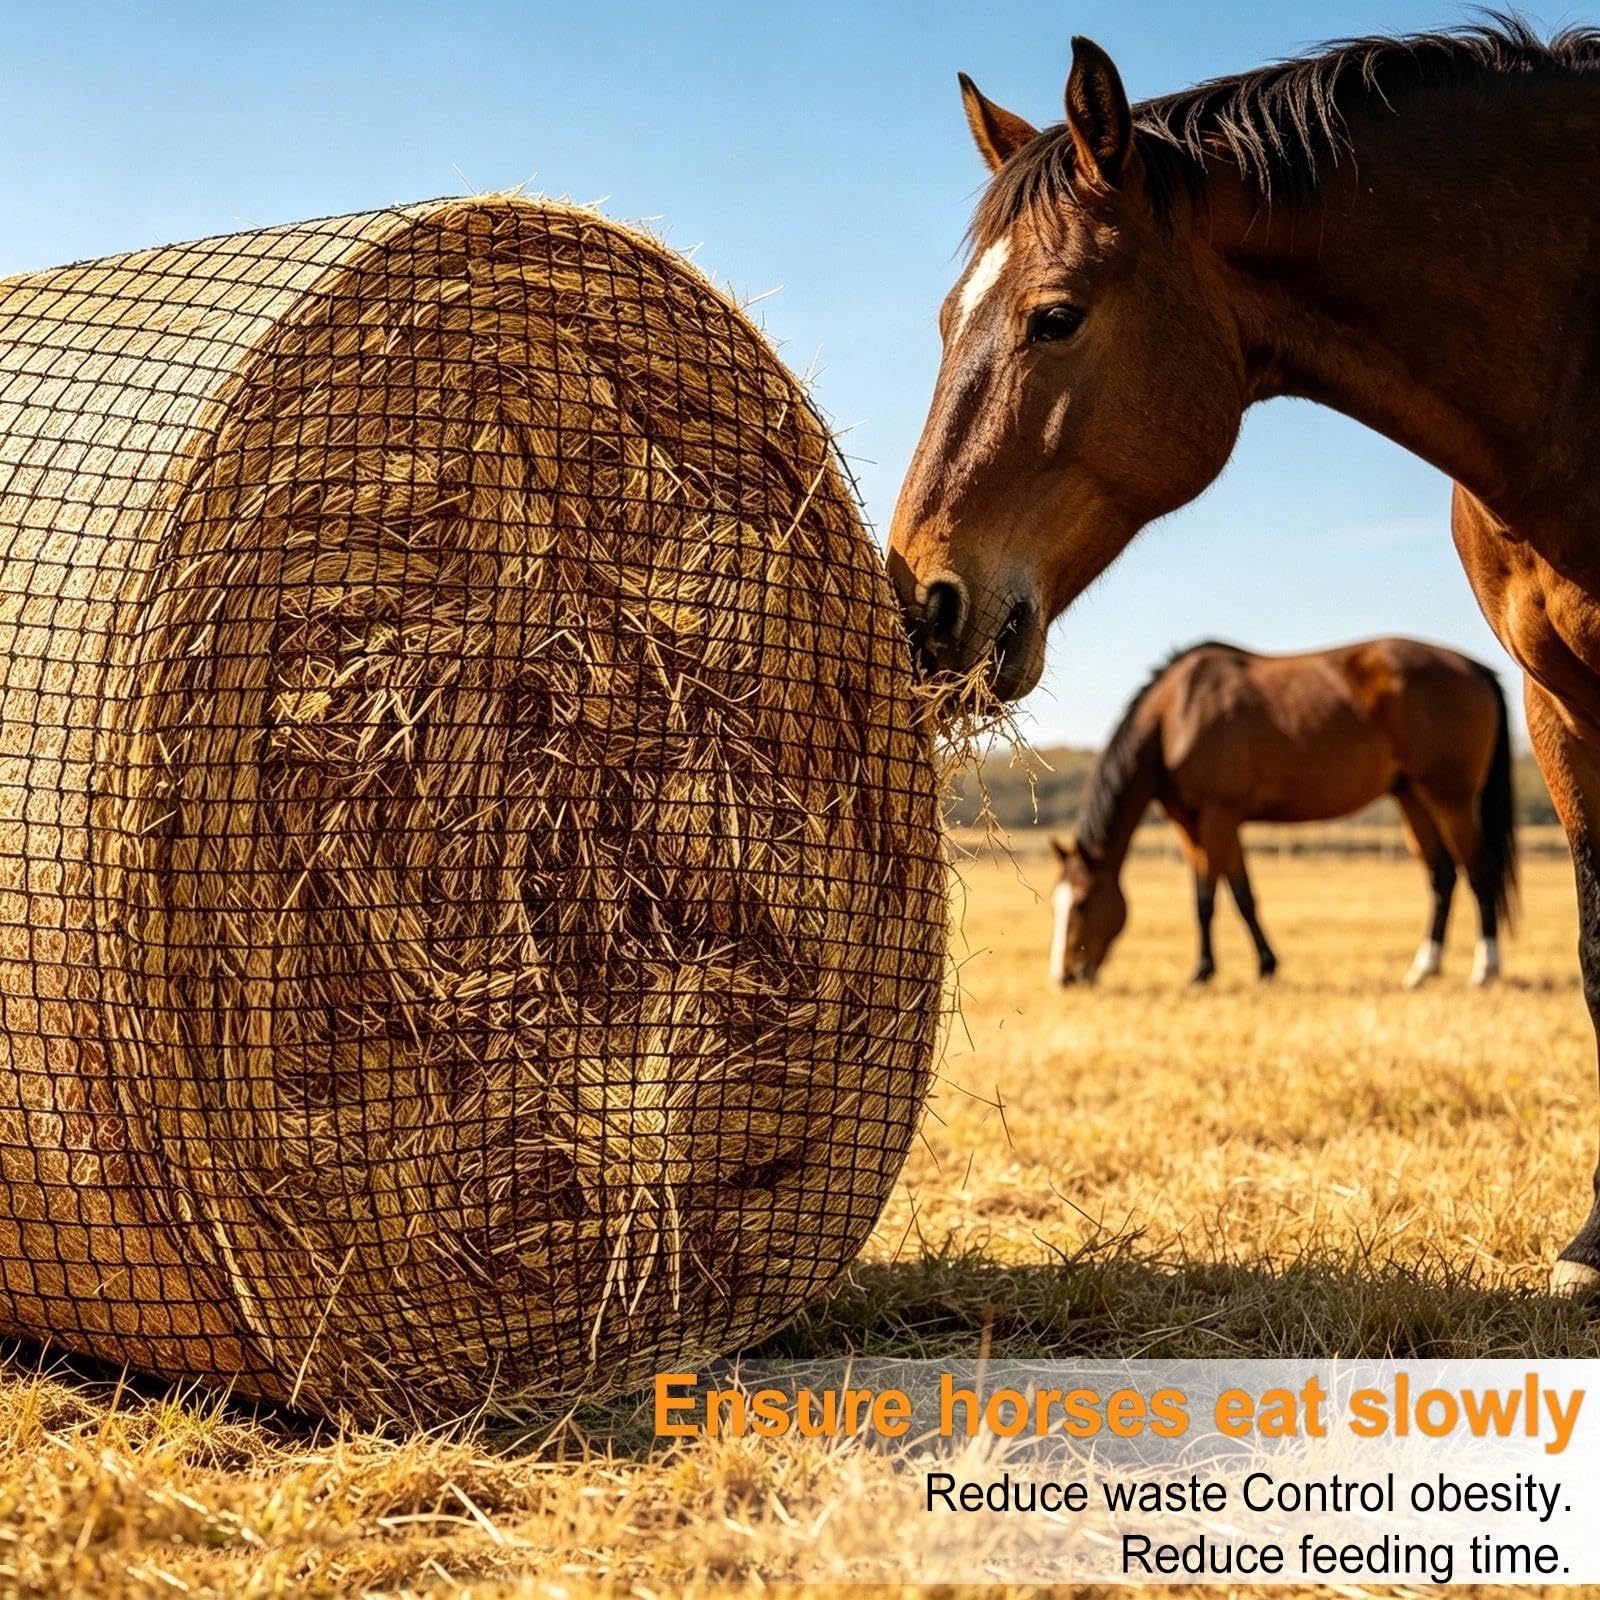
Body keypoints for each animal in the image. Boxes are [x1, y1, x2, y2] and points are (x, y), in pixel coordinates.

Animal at [1049, 639, 1515, 990]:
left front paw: (1202, 972)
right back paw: (1422, 970)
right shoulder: (1198, 823)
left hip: (1450, 798)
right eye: (1058, 902)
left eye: (1083, 903)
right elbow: (1242, 896)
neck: (1176, 715)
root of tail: (1475, 668)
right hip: (1412, 797)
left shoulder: (1217, 816)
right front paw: (1266, 965)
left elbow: (1205, 898)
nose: (1064, 977)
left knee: (1480, 871)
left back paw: (1485, 969)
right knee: (1442, 876)